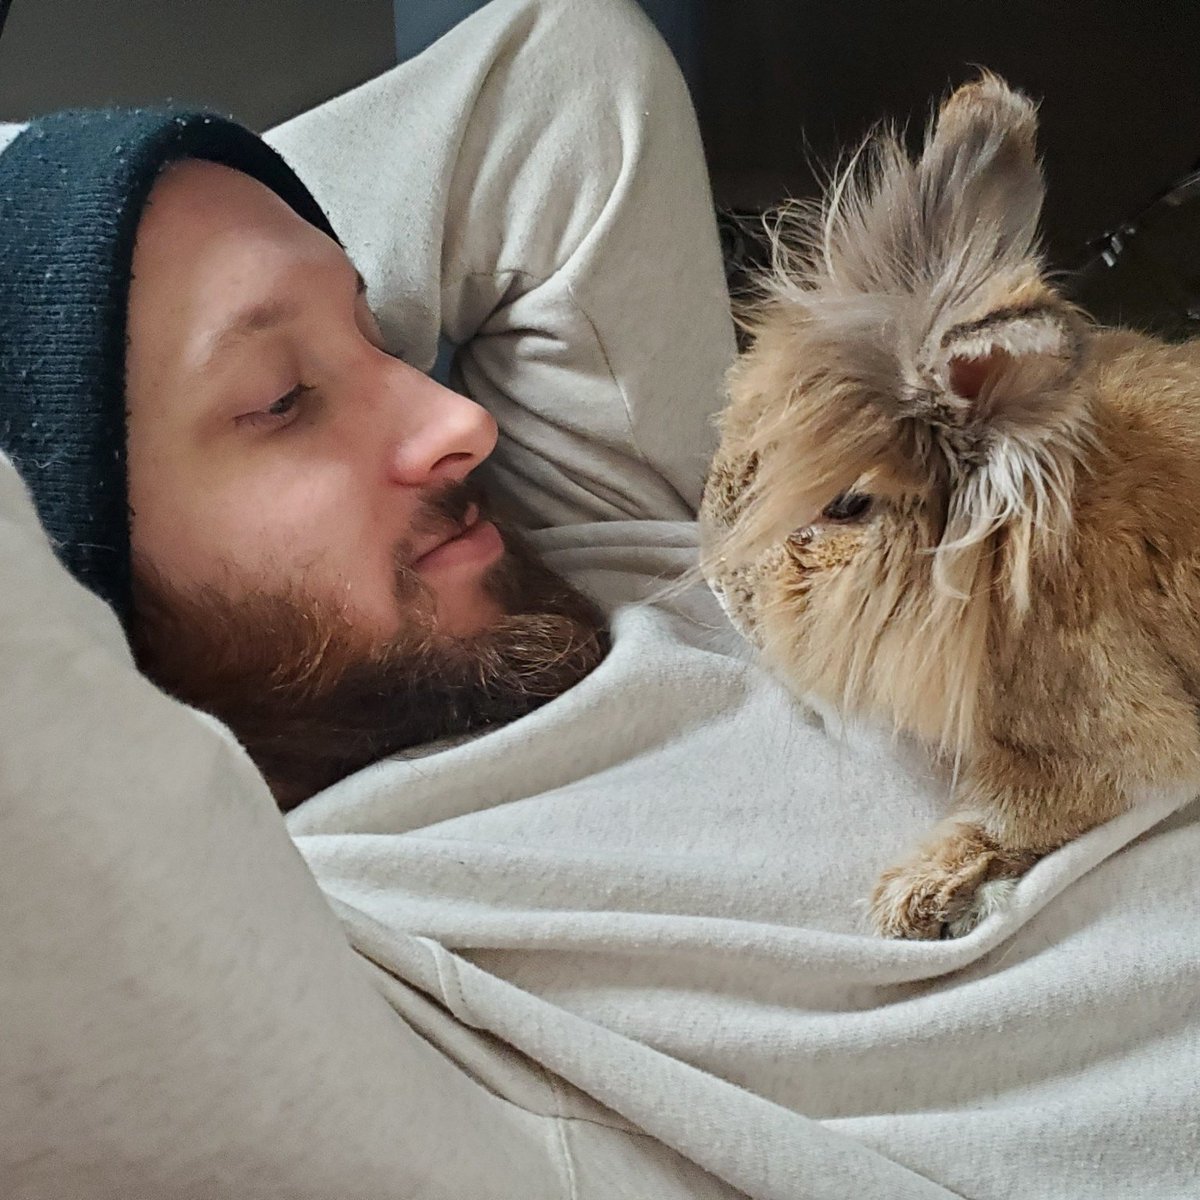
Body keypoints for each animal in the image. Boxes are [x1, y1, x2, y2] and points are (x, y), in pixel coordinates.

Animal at [699, 72, 1200, 940]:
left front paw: (910, 898)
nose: (718, 589)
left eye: (847, 505)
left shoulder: (1114, 743)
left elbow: (1014, 818)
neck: (1003, 567)